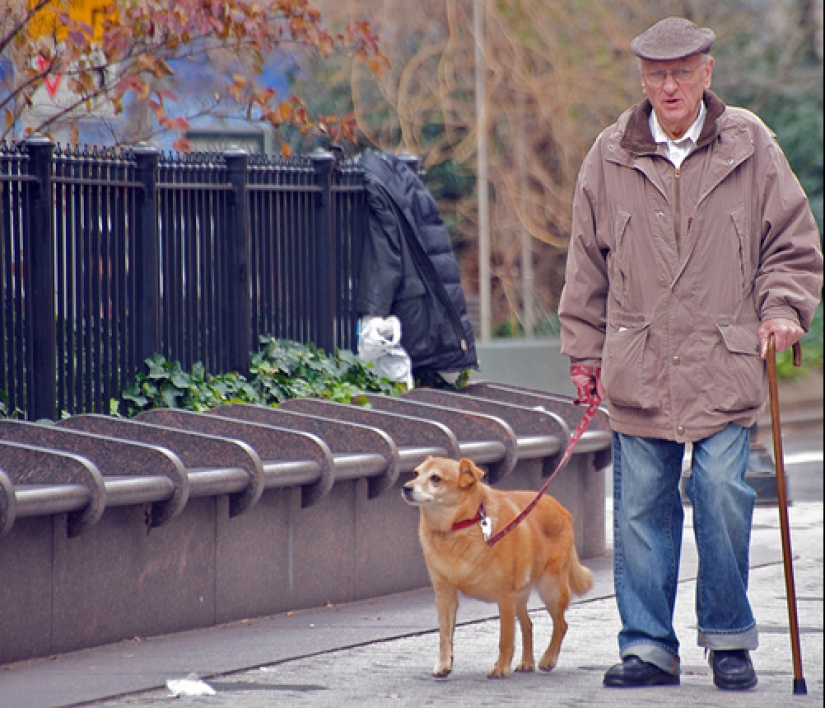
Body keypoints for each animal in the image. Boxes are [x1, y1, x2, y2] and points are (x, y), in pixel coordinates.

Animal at [400, 456, 588, 676]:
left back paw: (548, 658)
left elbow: (505, 638)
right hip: (520, 596)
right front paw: (444, 664)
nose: (406, 487)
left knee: (561, 625)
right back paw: (527, 662)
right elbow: (445, 635)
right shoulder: (445, 594)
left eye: (435, 478)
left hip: (551, 590)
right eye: (415, 473)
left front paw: (501, 667)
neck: (459, 527)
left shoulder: (505, 596)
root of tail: (562, 509)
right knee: (528, 625)